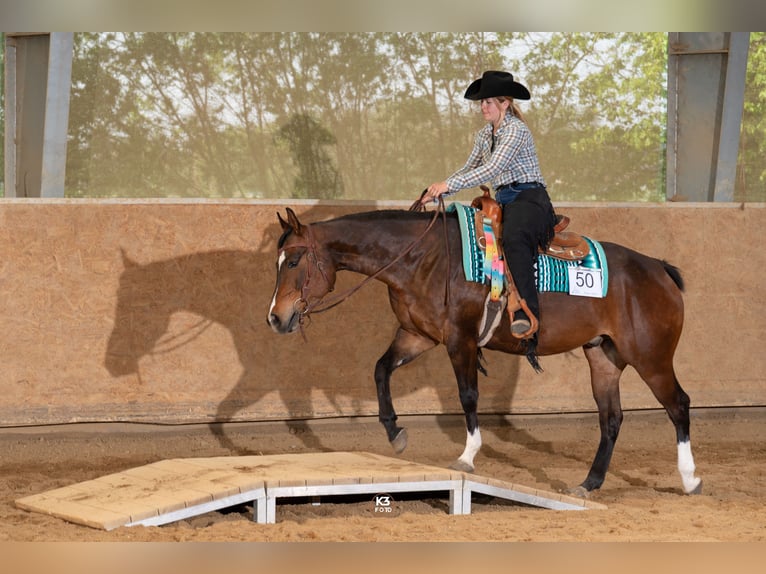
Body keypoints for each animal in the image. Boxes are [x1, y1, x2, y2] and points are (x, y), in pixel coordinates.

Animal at [268, 207, 704, 500]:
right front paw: (395, 433)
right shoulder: (417, 335)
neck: (424, 258)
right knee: (611, 419)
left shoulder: (459, 340)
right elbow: (380, 370)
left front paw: (467, 456)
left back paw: (690, 479)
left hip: (651, 357)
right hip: (603, 357)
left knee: (679, 405)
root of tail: (658, 269)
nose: (275, 317)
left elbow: (468, 397)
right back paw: (589, 483)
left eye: (294, 260)